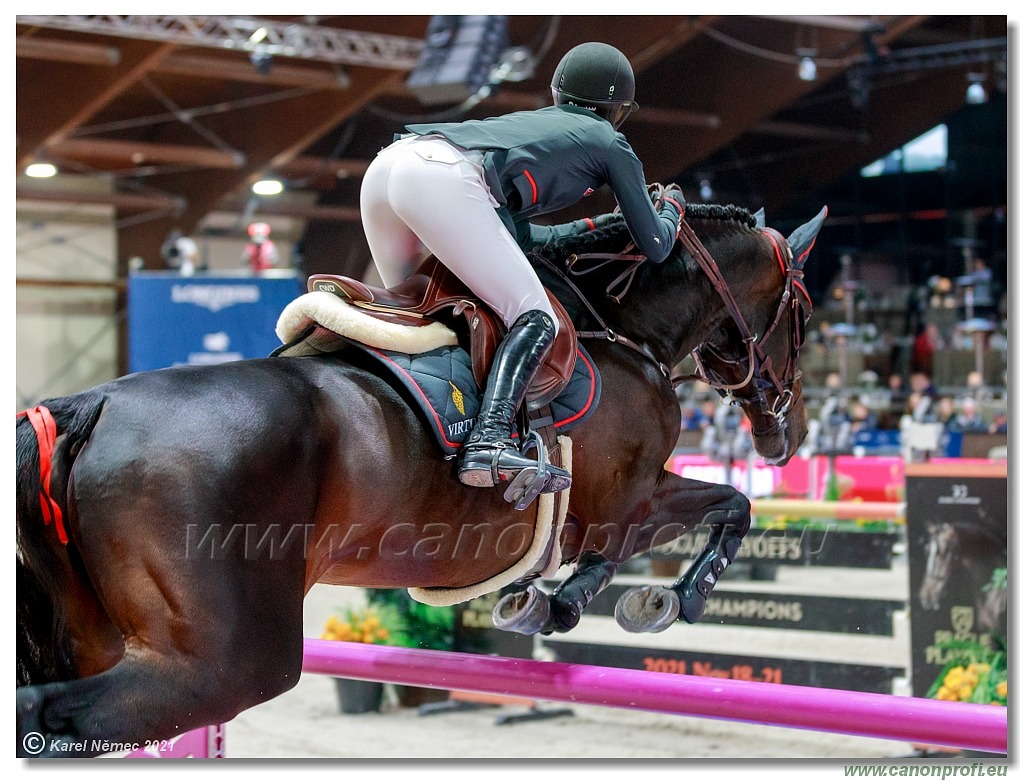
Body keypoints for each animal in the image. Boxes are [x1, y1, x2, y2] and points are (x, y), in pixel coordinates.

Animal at [18, 201, 823, 757]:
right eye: (805, 313)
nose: (789, 434)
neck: (622, 330)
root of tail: (91, 402)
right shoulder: (628, 502)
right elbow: (730, 507)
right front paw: (659, 599)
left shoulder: (617, 509)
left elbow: (675, 526)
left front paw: (549, 603)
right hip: (223, 665)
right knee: (54, 712)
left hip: (99, 636)